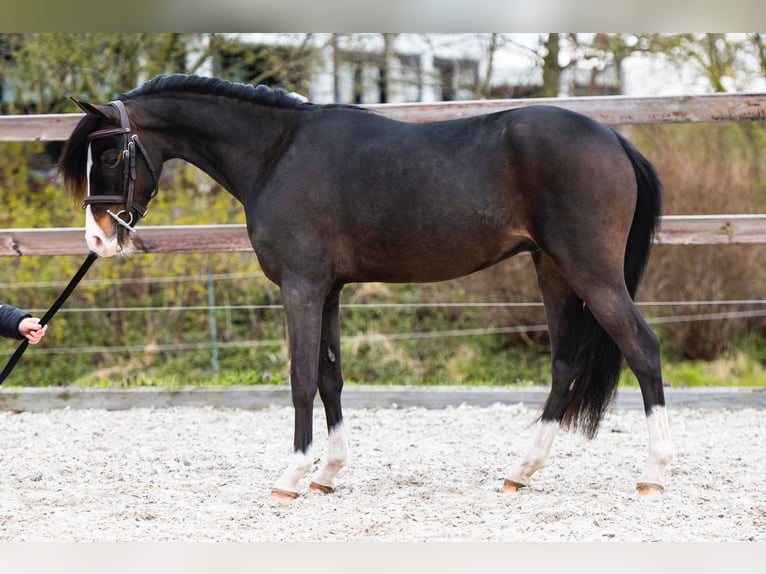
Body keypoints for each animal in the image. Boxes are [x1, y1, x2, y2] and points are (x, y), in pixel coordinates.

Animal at [58, 74, 673, 499]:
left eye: (109, 153)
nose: (98, 239)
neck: (277, 154)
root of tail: (614, 138)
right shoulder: (328, 288)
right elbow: (331, 377)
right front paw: (327, 473)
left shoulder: (301, 286)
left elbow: (301, 379)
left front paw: (292, 474)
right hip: (553, 271)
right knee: (565, 363)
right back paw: (520, 472)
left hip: (589, 271)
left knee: (643, 349)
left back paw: (653, 474)